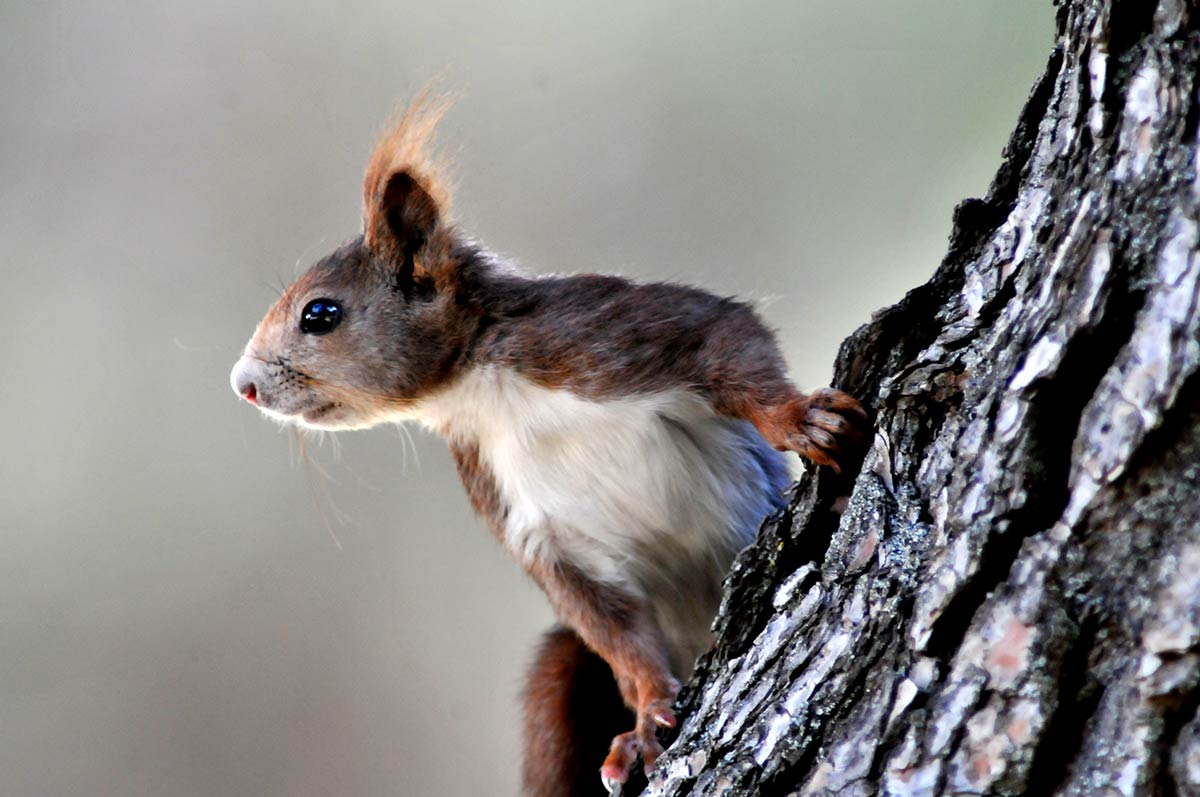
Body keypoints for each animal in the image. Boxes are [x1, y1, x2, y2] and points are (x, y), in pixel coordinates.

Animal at [229, 97, 868, 797]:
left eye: (320, 314)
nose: (243, 385)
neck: (488, 394)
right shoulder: (521, 510)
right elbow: (607, 622)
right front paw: (647, 716)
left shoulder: (607, 334)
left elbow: (730, 342)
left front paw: (798, 420)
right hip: (559, 672)